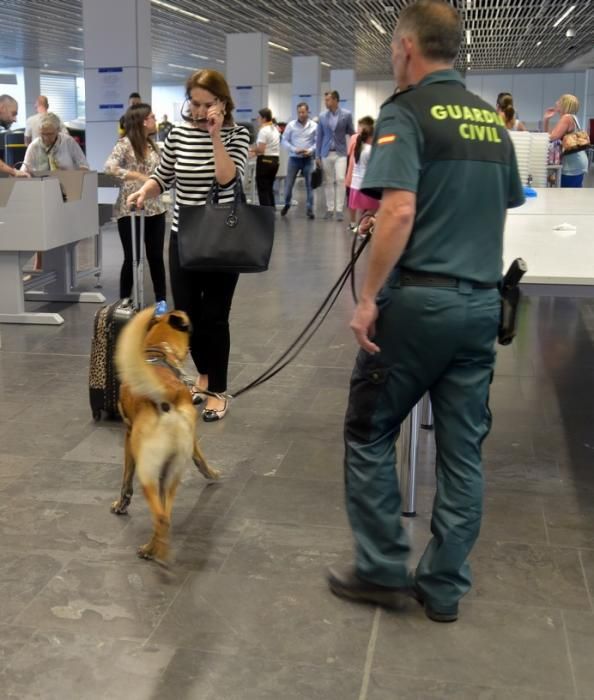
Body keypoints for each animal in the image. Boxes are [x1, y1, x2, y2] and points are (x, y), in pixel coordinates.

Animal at [110, 306, 219, 564]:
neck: (157, 349)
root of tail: (166, 394)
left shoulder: (128, 437)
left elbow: (125, 480)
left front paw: (121, 504)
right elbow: (200, 457)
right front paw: (211, 473)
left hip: (146, 470)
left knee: (159, 516)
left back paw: (150, 551)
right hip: (172, 474)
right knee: (165, 515)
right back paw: (156, 547)